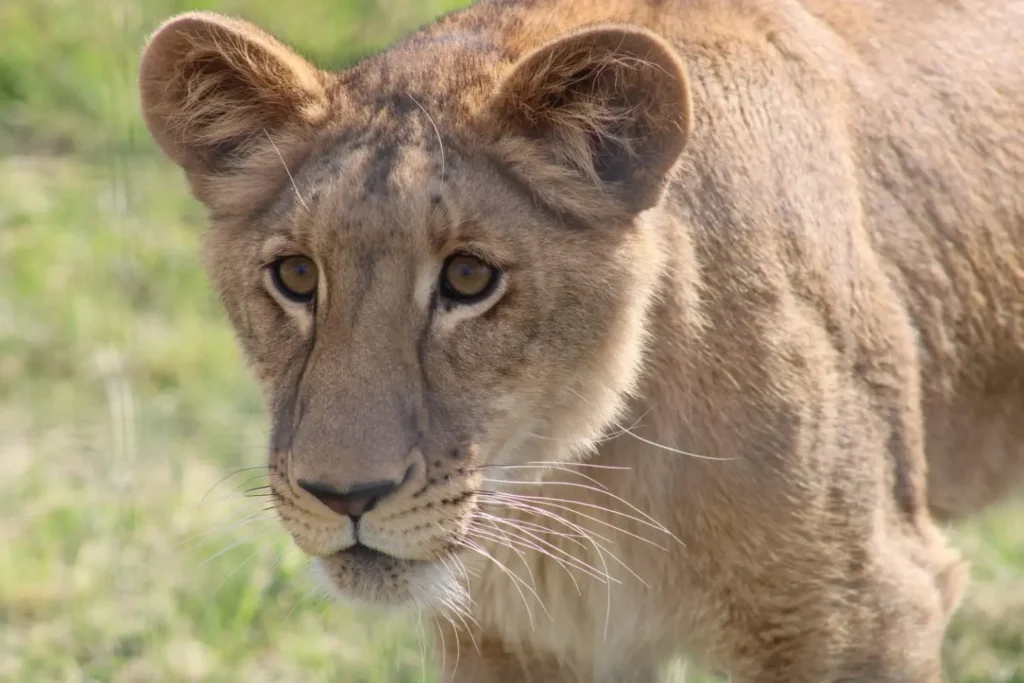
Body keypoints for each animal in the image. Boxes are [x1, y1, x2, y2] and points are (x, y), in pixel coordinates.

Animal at [137, 0, 1024, 680]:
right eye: (296, 276)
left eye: (468, 278)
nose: (344, 497)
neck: (577, 485)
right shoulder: (513, 643)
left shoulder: (864, 609)